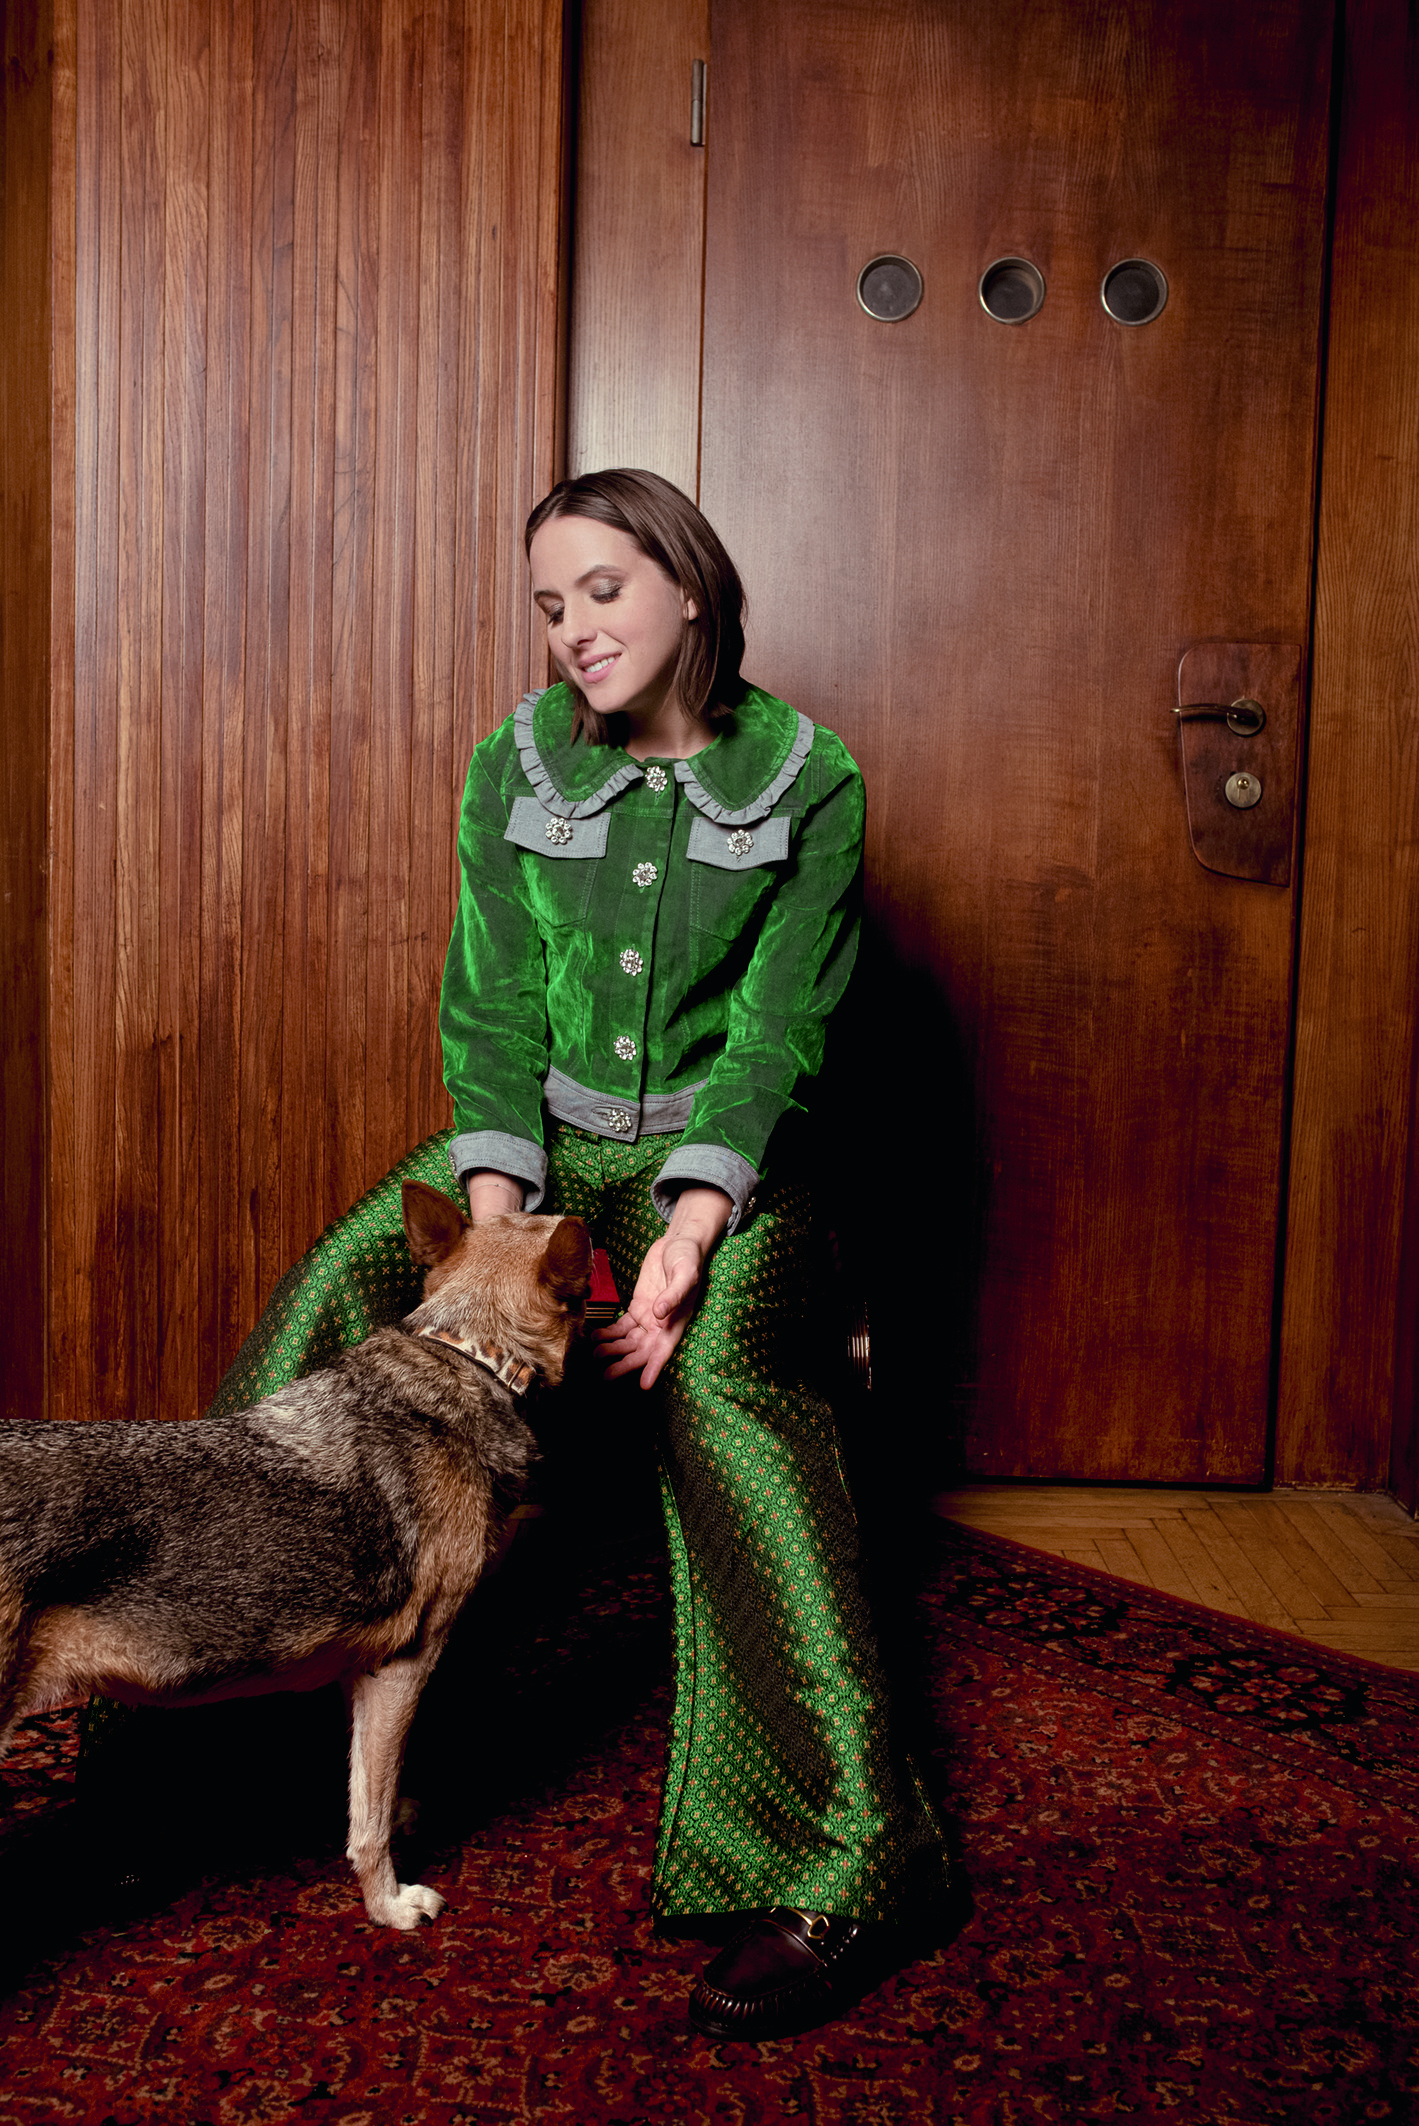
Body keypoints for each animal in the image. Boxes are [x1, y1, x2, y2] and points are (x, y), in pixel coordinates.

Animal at [0, 1181, 592, 1930]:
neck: (469, 1351)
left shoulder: (359, 1670)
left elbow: (367, 1784)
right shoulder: (406, 1663)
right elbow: (368, 1821)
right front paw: (388, 1905)